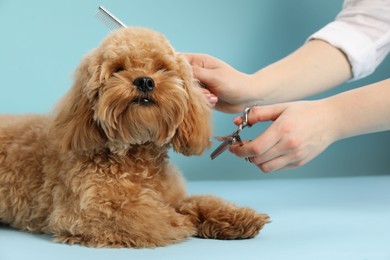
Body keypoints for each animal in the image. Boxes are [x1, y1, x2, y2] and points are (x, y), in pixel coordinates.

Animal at [0, 26, 268, 248]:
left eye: (161, 68)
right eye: (118, 69)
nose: (145, 81)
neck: (137, 155)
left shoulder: (172, 196)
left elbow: (201, 201)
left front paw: (236, 217)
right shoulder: (86, 212)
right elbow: (148, 217)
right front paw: (181, 222)